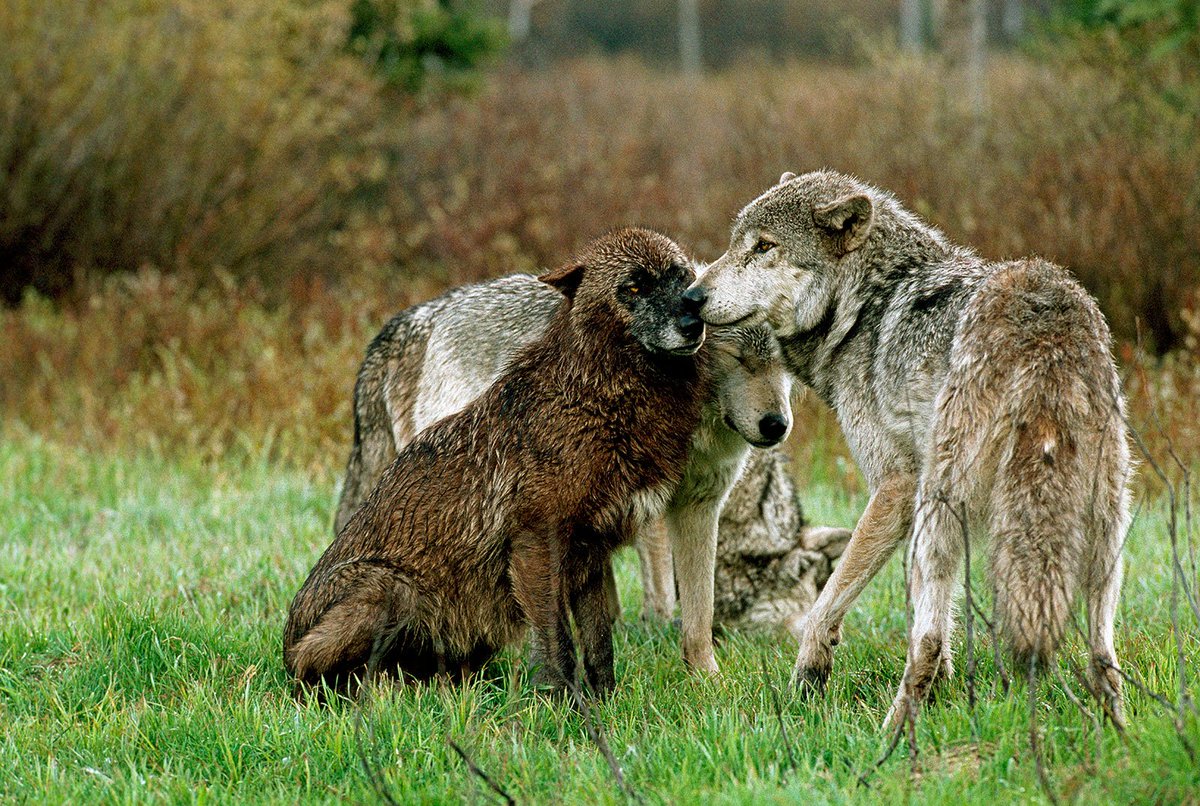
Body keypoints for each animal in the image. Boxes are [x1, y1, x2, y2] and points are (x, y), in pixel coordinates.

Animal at [284, 228, 710, 694]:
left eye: (682, 279)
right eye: (633, 288)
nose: (693, 323)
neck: (596, 399)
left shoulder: (591, 556)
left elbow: (600, 647)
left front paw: (606, 702)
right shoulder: (536, 545)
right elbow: (559, 645)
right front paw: (564, 706)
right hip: (389, 587)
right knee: (326, 678)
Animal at [333, 273, 850, 673]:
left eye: (785, 367)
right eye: (738, 359)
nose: (777, 425)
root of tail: (416, 318)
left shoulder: (693, 506)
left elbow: (693, 615)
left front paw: (703, 677)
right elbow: (660, 594)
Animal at [692, 169, 1132, 726]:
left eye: (764, 246)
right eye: (734, 244)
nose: (689, 296)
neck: (864, 307)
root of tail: (1044, 323)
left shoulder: (896, 488)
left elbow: (826, 606)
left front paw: (809, 677)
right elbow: (942, 620)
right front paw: (945, 689)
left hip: (940, 508)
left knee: (923, 644)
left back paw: (889, 736)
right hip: (1104, 531)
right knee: (1104, 657)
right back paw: (1120, 734)